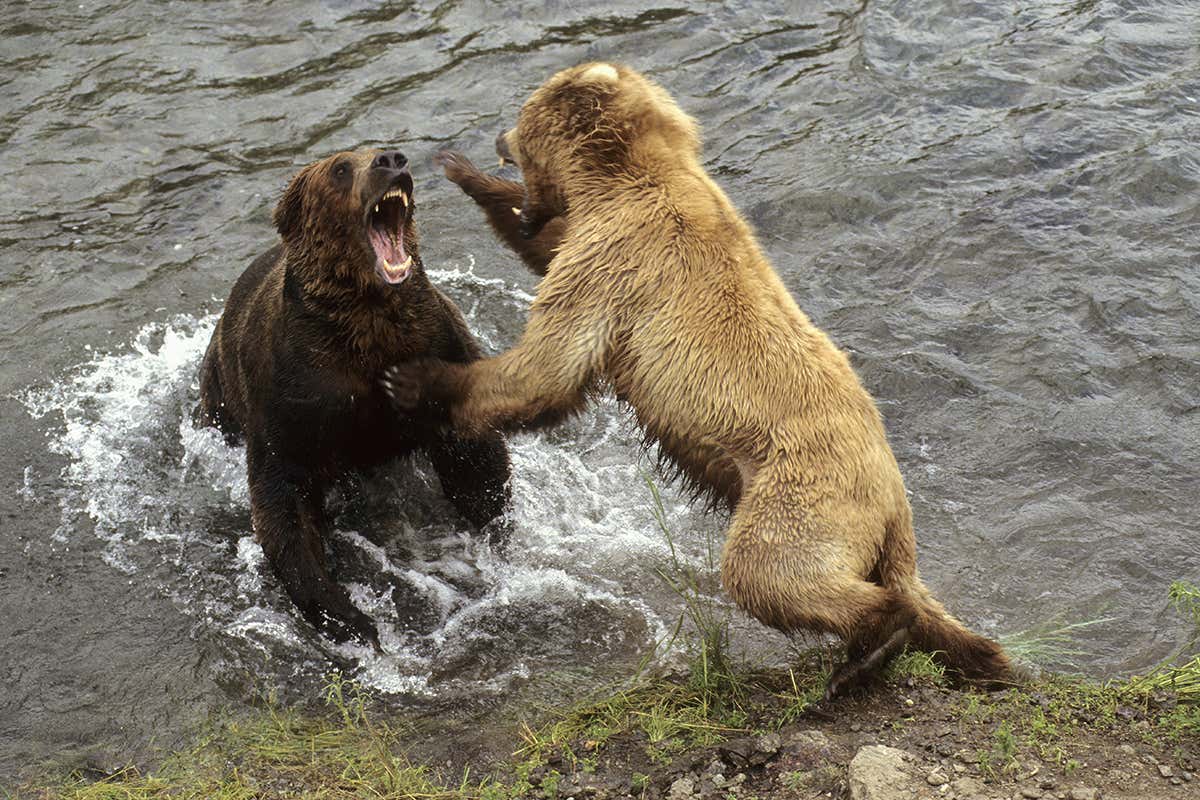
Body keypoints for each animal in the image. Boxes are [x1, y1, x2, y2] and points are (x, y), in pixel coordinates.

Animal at [195, 147, 511, 649]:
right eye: (340, 168)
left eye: (385, 150)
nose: (391, 159)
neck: (368, 320)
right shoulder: (293, 397)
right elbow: (283, 506)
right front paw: (350, 617)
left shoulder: (435, 346)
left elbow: (474, 457)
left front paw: (494, 533)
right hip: (218, 396)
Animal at [385, 63, 1013, 697]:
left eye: (522, 115)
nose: (498, 136)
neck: (622, 176)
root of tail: (893, 499)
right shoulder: (599, 237)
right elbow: (544, 247)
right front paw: (468, 174)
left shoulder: (615, 261)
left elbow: (549, 366)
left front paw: (414, 379)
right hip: (859, 523)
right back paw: (974, 655)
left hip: (802, 492)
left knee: (767, 571)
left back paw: (869, 647)